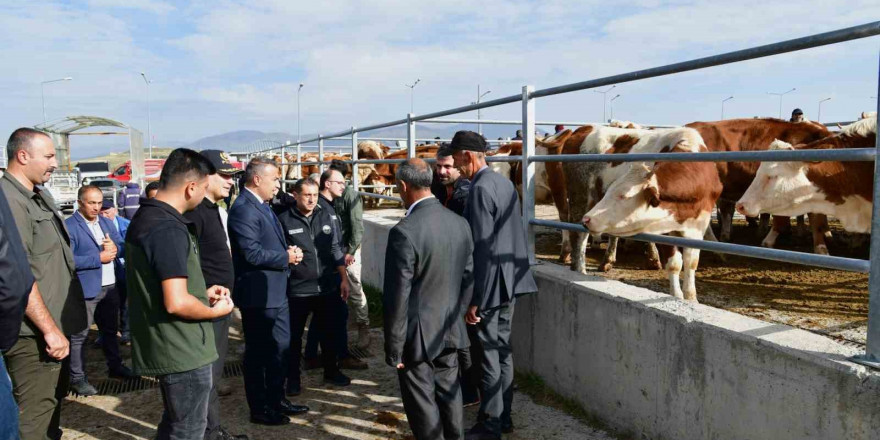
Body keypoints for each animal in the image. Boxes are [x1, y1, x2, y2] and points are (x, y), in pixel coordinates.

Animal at [584, 138, 720, 302]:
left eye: (624, 195)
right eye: (609, 191)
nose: (587, 219)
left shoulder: (698, 228)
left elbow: (691, 263)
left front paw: (691, 298)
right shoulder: (664, 229)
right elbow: (674, 264)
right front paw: (676, 296)